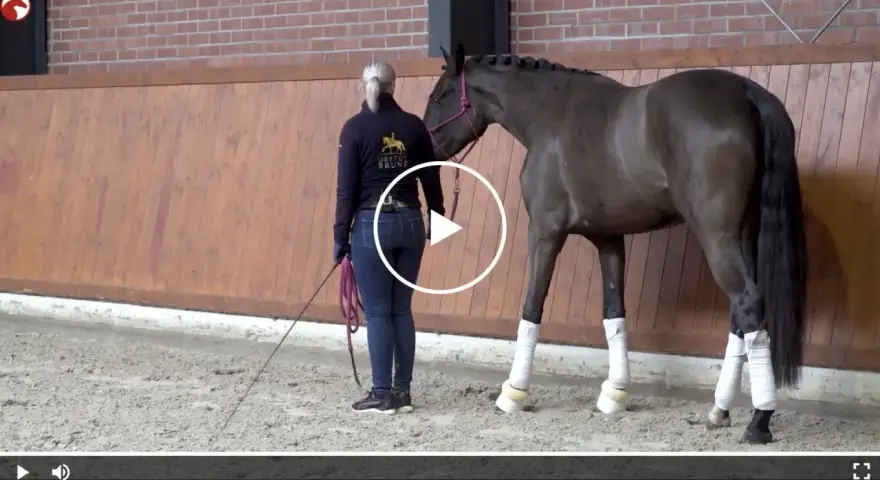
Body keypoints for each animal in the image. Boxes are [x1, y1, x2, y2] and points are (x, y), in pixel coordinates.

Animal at [422, 45, 808, 445]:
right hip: (743, 235)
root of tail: (747, 93)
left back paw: (759, 420)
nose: (425, 147)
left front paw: (513, 392)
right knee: (740, 315)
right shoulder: (608, 238)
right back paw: (719, 411)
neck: (551, 115)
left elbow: (532, 308)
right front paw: (615, 394)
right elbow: (613, 313)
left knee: (748, 303)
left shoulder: (544, 232)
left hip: (717, 237)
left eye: (439, 96)